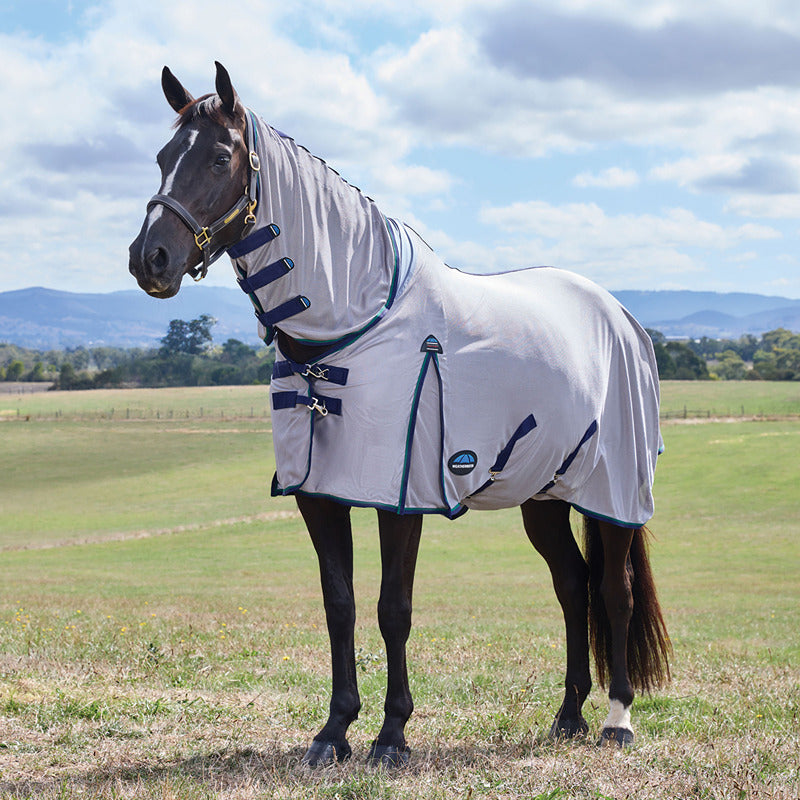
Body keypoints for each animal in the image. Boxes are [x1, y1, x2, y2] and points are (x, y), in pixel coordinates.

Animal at [128, 62, 671, 767]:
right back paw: (568, 715)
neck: (351, 324)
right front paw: (333, 731)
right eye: (163, 157)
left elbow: (394, 608)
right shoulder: (320, 493)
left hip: (613, 491)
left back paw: (616, 720)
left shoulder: (400, 495)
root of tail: (622, 317)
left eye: (221, 157)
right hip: (544, 495)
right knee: (572, 585)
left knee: (614, 592)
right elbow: (340, 604)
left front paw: (392, 736)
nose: (150, 259)